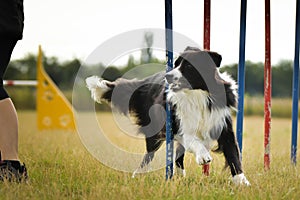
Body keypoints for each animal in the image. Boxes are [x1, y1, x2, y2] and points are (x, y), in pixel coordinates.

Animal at [85, 47, 250, 186]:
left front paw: (242, 182)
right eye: (175, 64)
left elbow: (233, 154)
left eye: (189, 66)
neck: (198, 95)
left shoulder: (223, 124)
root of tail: (145, 82)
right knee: (149, 155)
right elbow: (192, 140)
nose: (168, 76)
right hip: (155, 131)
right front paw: (203, 156)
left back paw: (179, 175)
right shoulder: (179, 125)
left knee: (177, 155)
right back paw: (138, 175)